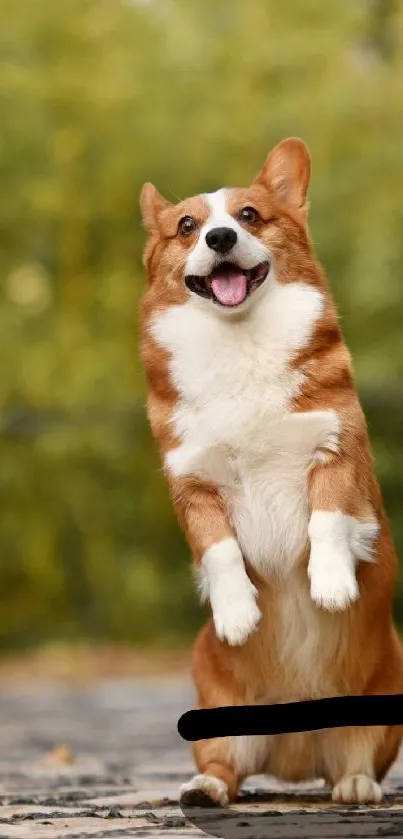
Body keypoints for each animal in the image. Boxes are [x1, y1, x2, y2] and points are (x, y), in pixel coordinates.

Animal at [139, 138, 403, 808]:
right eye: (187, 226)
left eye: (250, 215)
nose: (221, 237)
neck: (240, 344)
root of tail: (294, 755)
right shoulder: (192, 487)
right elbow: (220, 550)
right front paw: (237, 613)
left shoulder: (336, 453)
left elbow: (327, 520)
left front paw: (331, 584)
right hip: (212, 705)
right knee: (226, 766)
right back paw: (203, 787)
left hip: (380, 701)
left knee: (353, 759)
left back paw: (357, 785)